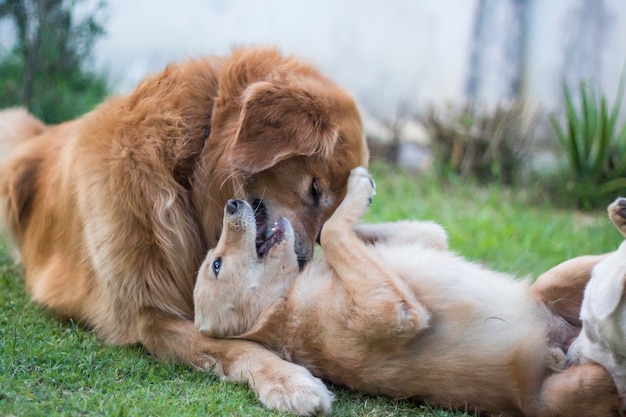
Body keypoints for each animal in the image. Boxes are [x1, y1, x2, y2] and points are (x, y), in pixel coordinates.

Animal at [194, 167, 620, 416]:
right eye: (216, 265)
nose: (233, 203)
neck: (288, 297)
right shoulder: (391, 312)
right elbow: (332, 232)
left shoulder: (423, 240)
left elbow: (340, 231)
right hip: (578, 385)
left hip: (560, 279)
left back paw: (621, 215)